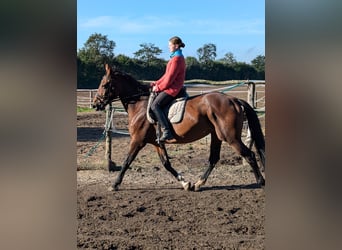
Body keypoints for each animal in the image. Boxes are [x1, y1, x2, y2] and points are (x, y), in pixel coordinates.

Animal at [92, 64, 266, 191]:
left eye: (105, 85)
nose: (95, 104)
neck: (139, 105)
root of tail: (234, 99)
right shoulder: (157, 143)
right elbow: (166, 164)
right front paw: (185, 183)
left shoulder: (137, 141)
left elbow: (127, 161)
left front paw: (114, 184)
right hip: (217, 136)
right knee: (214, 159)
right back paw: (198, 183)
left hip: (230, 137)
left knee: (249, 155)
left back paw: (260, 181)